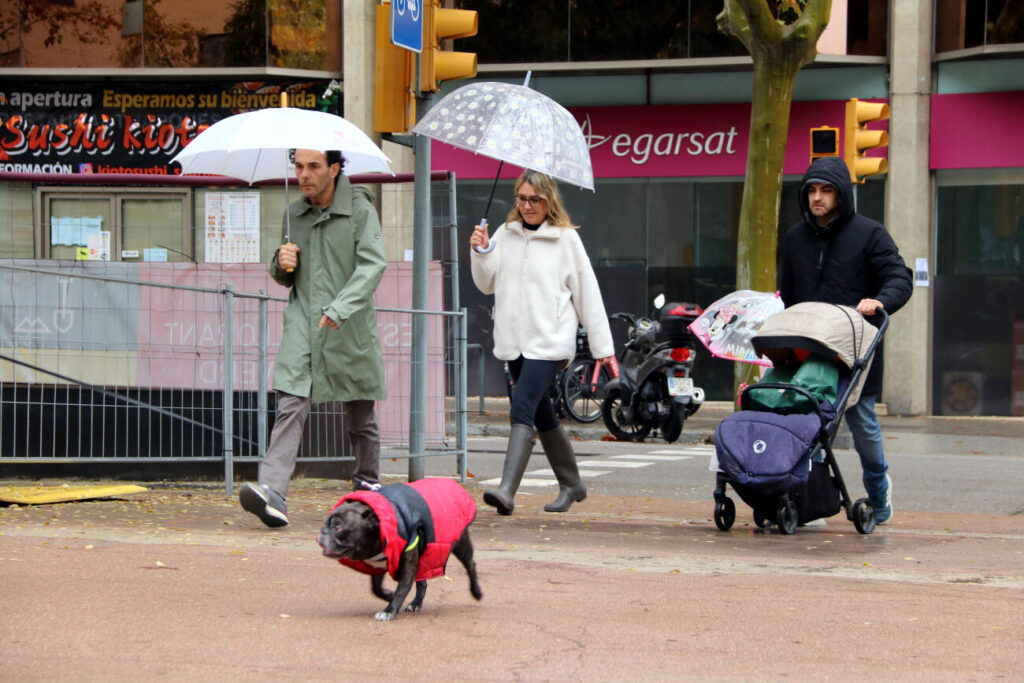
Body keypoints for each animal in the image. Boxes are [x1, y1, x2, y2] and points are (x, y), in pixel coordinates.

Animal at [317, 478, 482, 621]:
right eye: (325, 523)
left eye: (338, 527)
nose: (323, 531)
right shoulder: (378, 565)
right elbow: (376, 588)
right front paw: (388, 595)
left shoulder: (407, 567)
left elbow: (401, 589)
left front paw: (389, 610)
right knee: (422, 581)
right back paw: (416, 603)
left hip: (460, 544)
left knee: (470, 565)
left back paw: (476, 592)